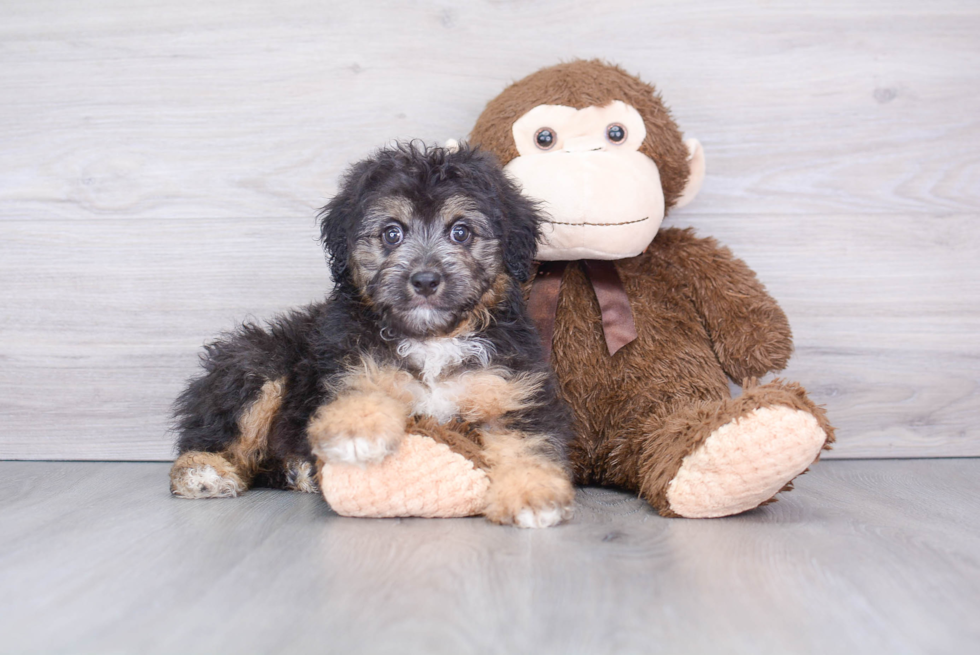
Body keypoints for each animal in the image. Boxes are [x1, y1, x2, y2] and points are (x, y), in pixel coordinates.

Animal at [172, 142, 580, 528]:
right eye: (392, 233)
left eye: (461, 232)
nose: (425, 280)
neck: (433, 338)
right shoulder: (349, 357)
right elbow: (364, 384)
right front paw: (356, 432)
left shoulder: (513, 390)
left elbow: (527, 442)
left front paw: (532, 495)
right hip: (257, 363)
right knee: (218, 432)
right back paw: (202, 472)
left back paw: (297, 470)